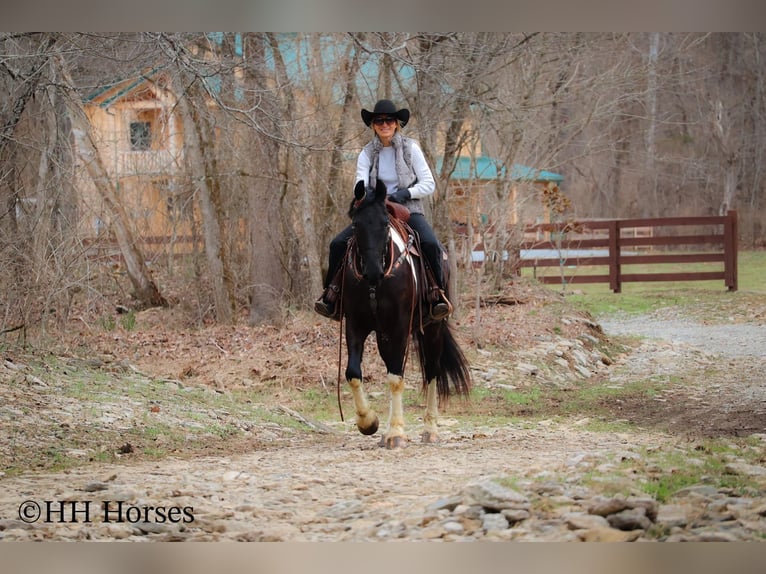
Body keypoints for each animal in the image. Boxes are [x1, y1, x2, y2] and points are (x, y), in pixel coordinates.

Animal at [340, 180, 472, 450]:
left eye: (385, 224)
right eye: (356, 224)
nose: (373, 272)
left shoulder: (399, 326)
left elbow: (395, 378)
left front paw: (396, 434)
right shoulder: (355, 325)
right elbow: (354, 373)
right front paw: (369, 423)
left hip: (432, 329)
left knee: (431, 371)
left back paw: (430, 430)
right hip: (384, 336)